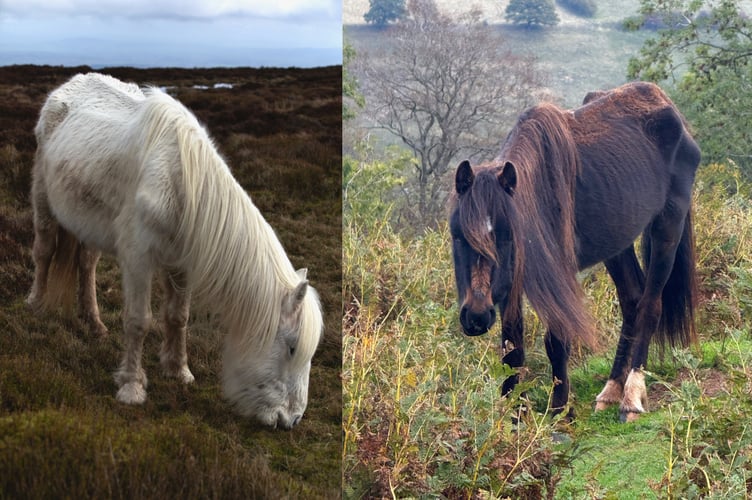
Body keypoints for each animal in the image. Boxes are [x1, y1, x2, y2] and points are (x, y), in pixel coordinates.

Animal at [27, 73, 323, 429]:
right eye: (292, 348)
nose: (291, 419)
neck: (181, 184)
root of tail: (65, 87)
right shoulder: (138, 260)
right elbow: (139, 320)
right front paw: (132, 387)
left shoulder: (181, 264)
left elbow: (178, 316)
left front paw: (179, 371)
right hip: (44, 202)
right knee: (44, 251)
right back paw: (35, 304)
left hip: (89, 224)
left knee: (86, 265)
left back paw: (94, 324)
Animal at [450, 82, 700, 422]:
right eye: (459, 235)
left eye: (506, 236)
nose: (475, 316)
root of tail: (669, 108)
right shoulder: (511, 281)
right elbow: (512, 348)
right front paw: (513, 414)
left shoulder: (559, 277)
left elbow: (556, 341)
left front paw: (559, 411)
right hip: (617, 245)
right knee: (632, 303)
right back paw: (611, 390)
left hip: (668, 226)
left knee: (650, 306)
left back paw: (631, 397)